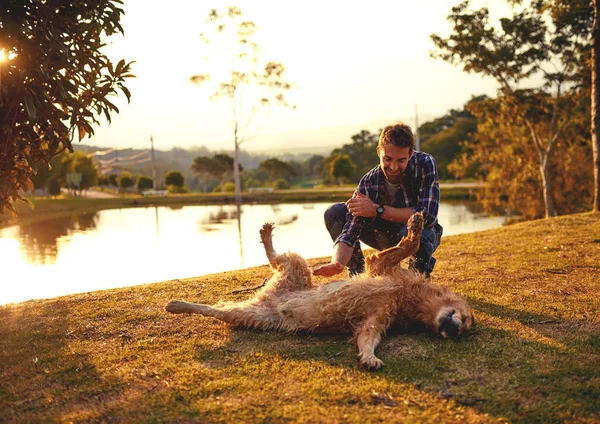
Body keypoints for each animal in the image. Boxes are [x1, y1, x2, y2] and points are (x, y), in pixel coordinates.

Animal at [165, 214, 474, 370]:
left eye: (465, 328)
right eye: (467, 319)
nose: (455, 331)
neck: (409, 299)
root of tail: (271, 299)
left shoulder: (378, 318)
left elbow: (368, 336)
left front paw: (369, 357)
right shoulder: (380, 265)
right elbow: (409, 245)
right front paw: (415, 225)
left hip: (251, 315)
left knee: (217, 309)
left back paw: (180, 305)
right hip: (296, 270)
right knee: (278, 257)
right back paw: (266, 234)